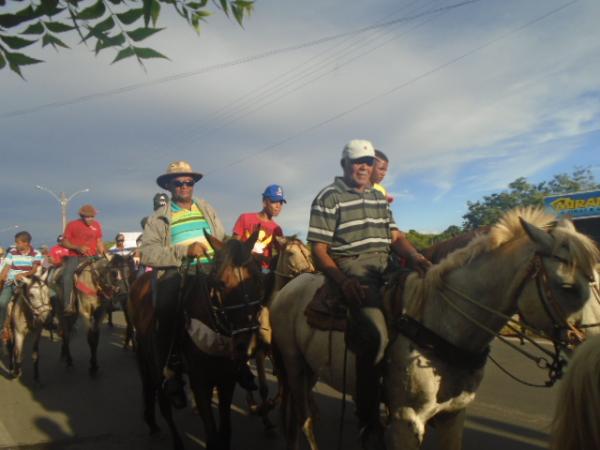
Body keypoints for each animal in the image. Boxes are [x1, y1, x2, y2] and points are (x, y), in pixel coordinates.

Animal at [129, 232, 262, 450]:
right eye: (221, 283)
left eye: (259, 278)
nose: (246, 344)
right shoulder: (200, 382)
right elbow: (212, 435)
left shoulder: (227, 379)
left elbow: (225, 431)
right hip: (152, 361)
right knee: (163, 403)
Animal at [272, 208, 600, 450]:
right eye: (567, 286)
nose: (592, 350)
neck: (440, 323)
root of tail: (288, 288)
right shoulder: (406, 422)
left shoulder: (454, 415)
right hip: (294, 365)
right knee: (303, 419)